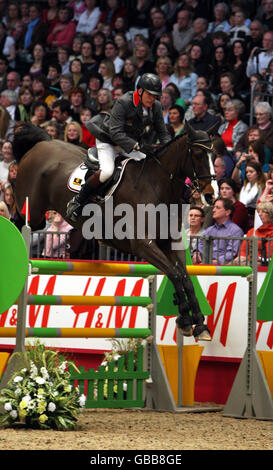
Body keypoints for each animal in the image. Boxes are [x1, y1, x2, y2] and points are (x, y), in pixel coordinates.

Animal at [12, 121, 216, 342]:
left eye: (213, 155)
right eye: (198, 154)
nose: (211, 196)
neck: (159, 188)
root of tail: (42, 144)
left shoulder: (169, 243)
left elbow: (185, 277)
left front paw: (198, 325)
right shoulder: (143, 246)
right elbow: (176, 275)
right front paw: (186, 320)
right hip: (32, 212)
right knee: (19, 221)